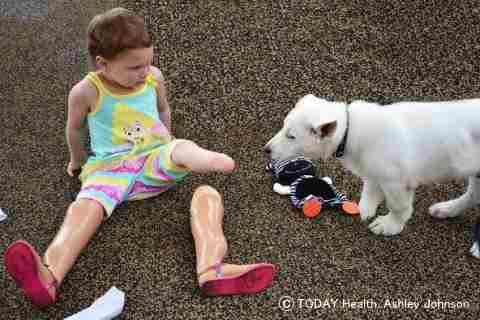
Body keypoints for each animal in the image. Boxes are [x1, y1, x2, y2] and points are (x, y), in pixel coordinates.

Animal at [264, 93, 480, 255]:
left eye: (291, 136)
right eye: (283, 126)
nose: (266, 150)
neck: (348, 131)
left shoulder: (396, 181)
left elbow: (398, 206)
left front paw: (389, 226)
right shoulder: (375, 171)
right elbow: (370, 188)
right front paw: (365, 208)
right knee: (473, 195)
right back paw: (447, 209)